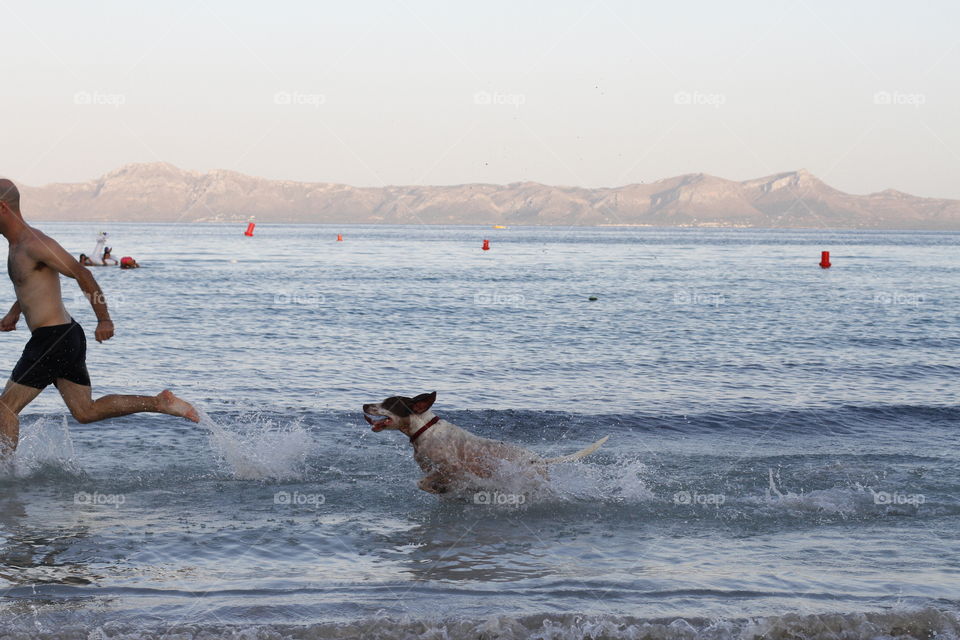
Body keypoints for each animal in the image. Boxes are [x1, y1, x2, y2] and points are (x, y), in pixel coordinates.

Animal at [362, 390, 608, 496]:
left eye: (389, 403)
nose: (365, 404)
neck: (424, 429)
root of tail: (539, 460)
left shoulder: (452, 467)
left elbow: (424, 483)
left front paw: (437, 489)